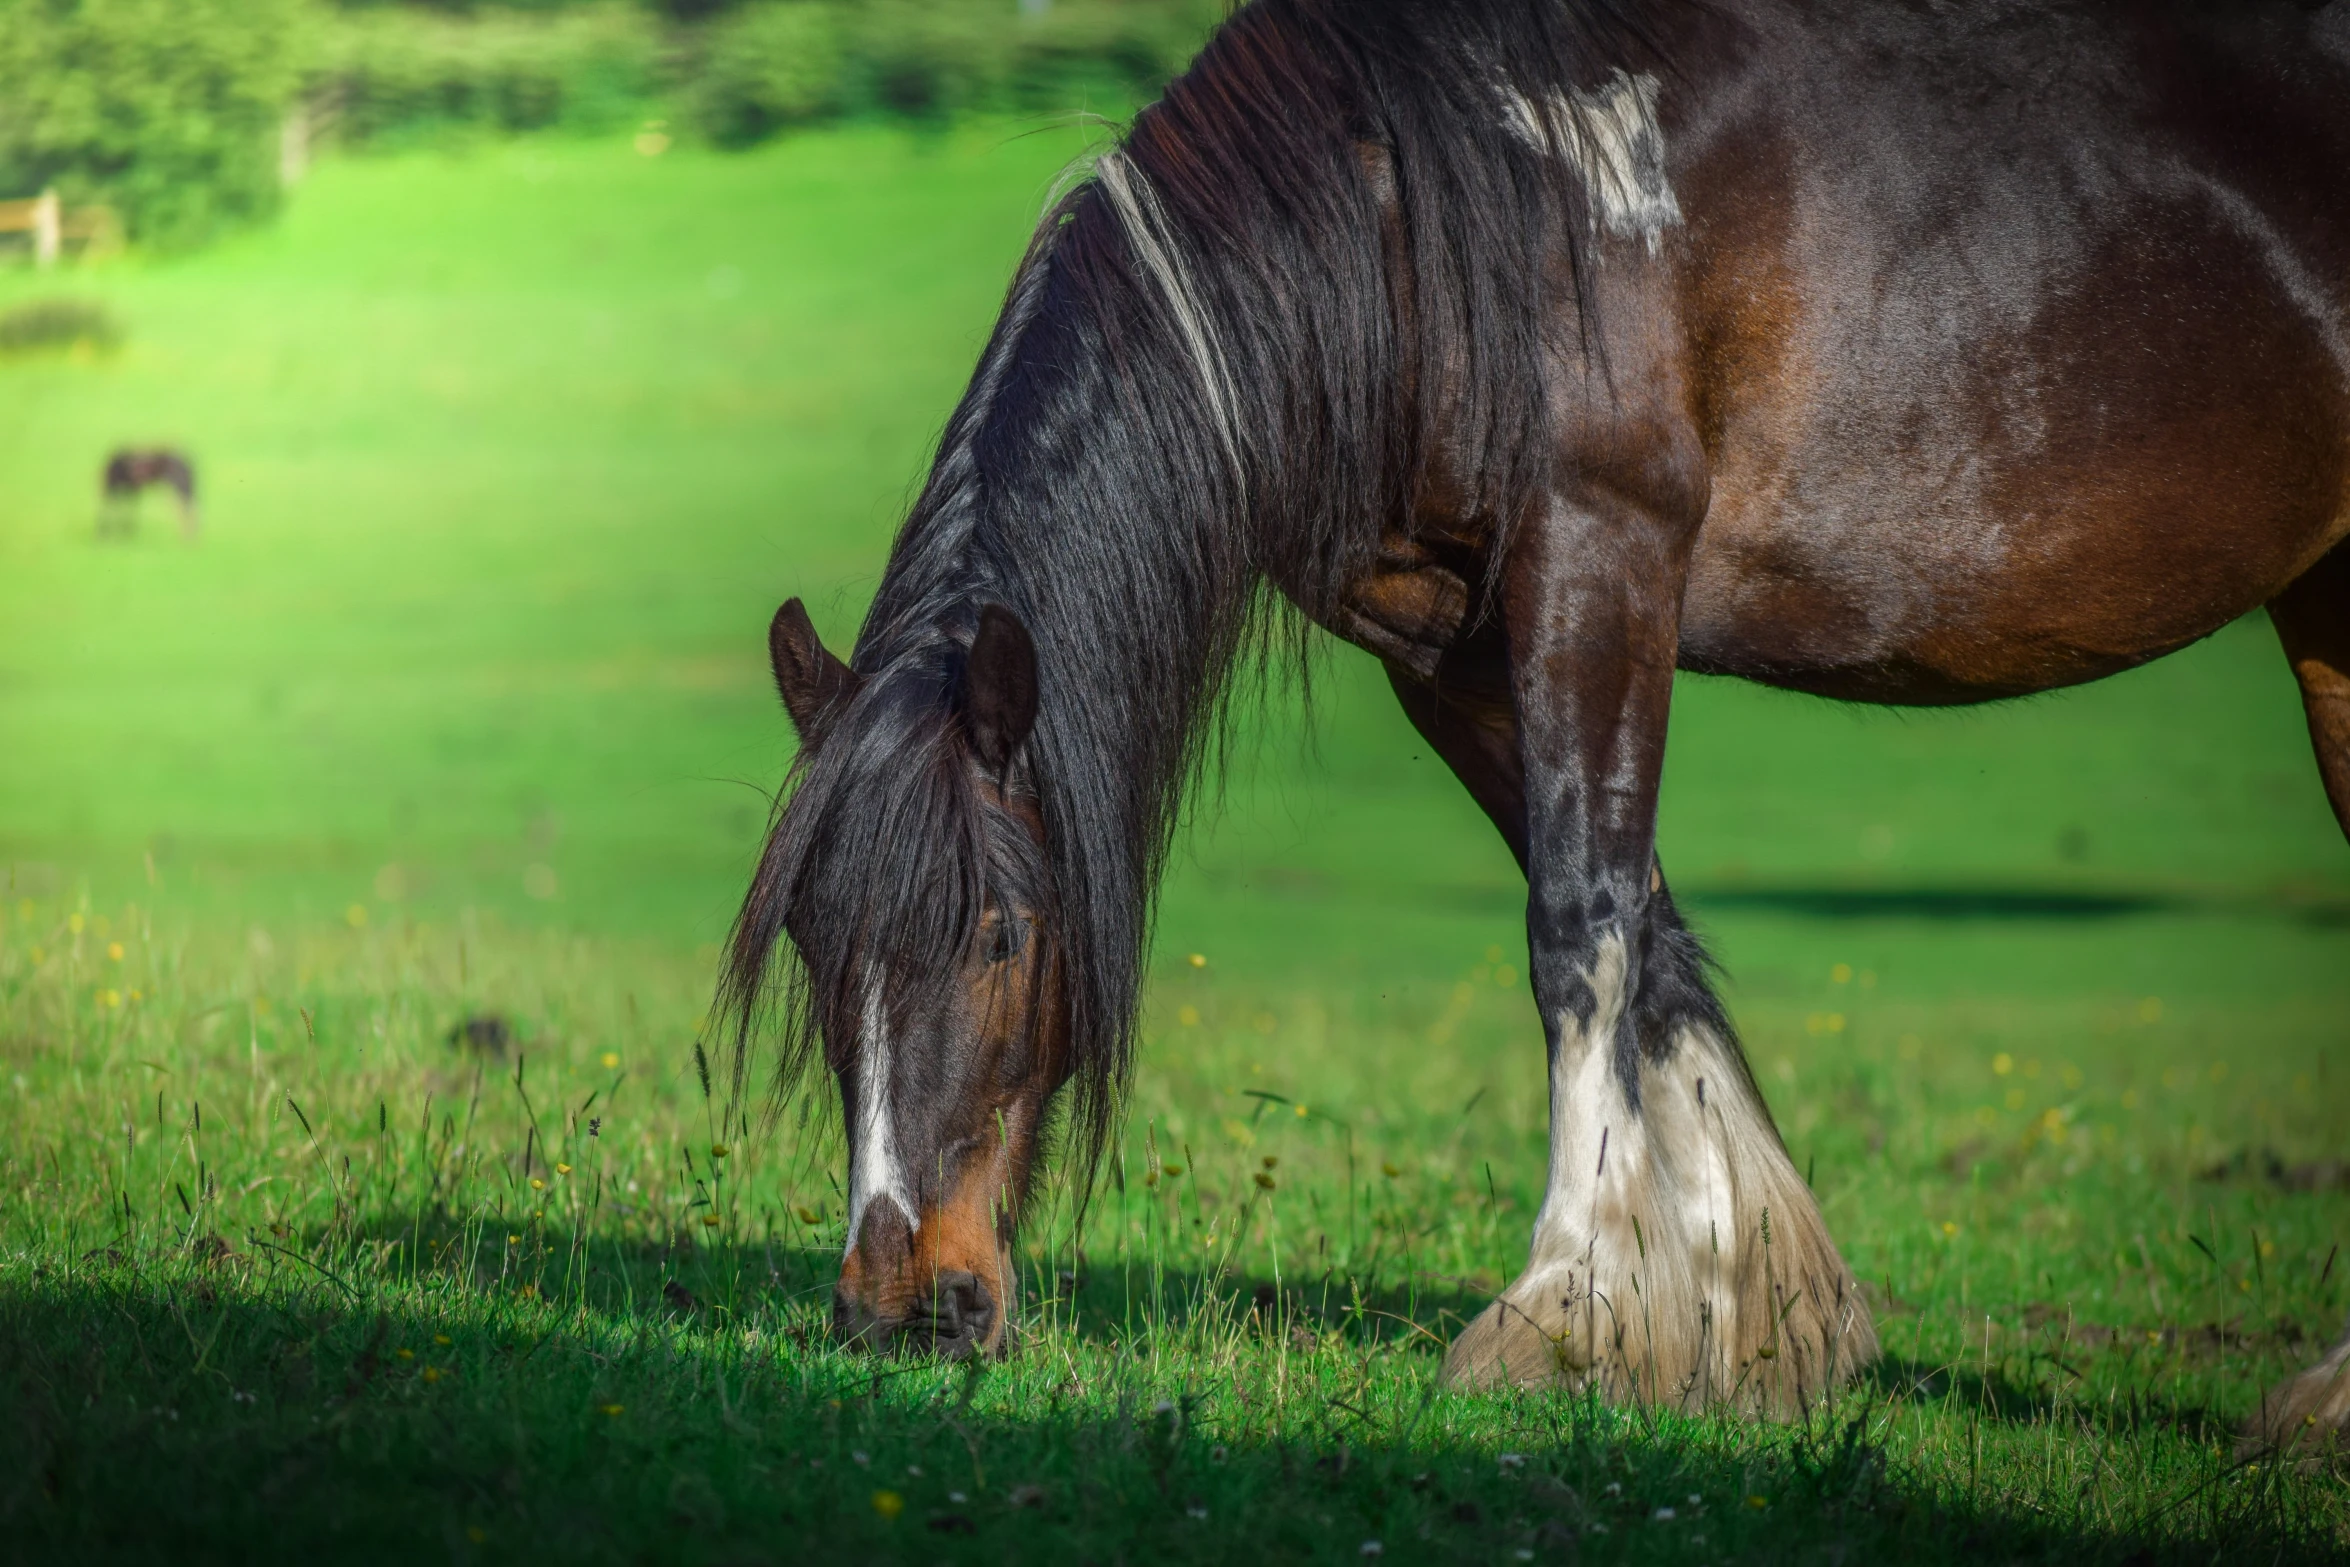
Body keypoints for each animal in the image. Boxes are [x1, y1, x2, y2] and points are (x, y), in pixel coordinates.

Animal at [723, 0, 2350, 1447]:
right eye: (811, 934)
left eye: (1000, 934)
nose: (898, 1299)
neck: (1430, 207)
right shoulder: (1453, 653)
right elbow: (1645, 928)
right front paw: (1746, 1318)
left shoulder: (1598, 552)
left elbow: (1578, 928)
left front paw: (1561, 1306)